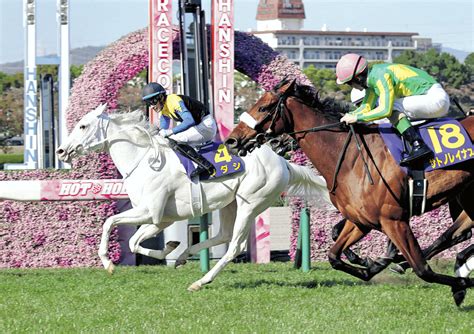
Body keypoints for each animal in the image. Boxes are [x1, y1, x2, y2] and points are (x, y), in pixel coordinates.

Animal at [56, 103, 330, 290]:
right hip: (231, 203)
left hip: (251, 203)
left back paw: (202, 280)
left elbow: (109, 223)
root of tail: (284, 163)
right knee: (224, 235)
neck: (143, 160)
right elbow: (133, 242)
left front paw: (108, 262)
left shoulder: (150, 212)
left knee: (235, 245)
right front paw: (170, 249)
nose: (60, 151)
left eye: (83, 125)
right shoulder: (160, 218)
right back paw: (184, 256)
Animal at [225, 80, 474, 306]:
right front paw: (369, 265)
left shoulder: (394, 220)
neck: (351, 159)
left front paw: (462, 285)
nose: (232, 140)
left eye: (263, 108)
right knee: (455, 234)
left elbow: (423, 270)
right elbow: (334, 254)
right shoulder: (360, 221)